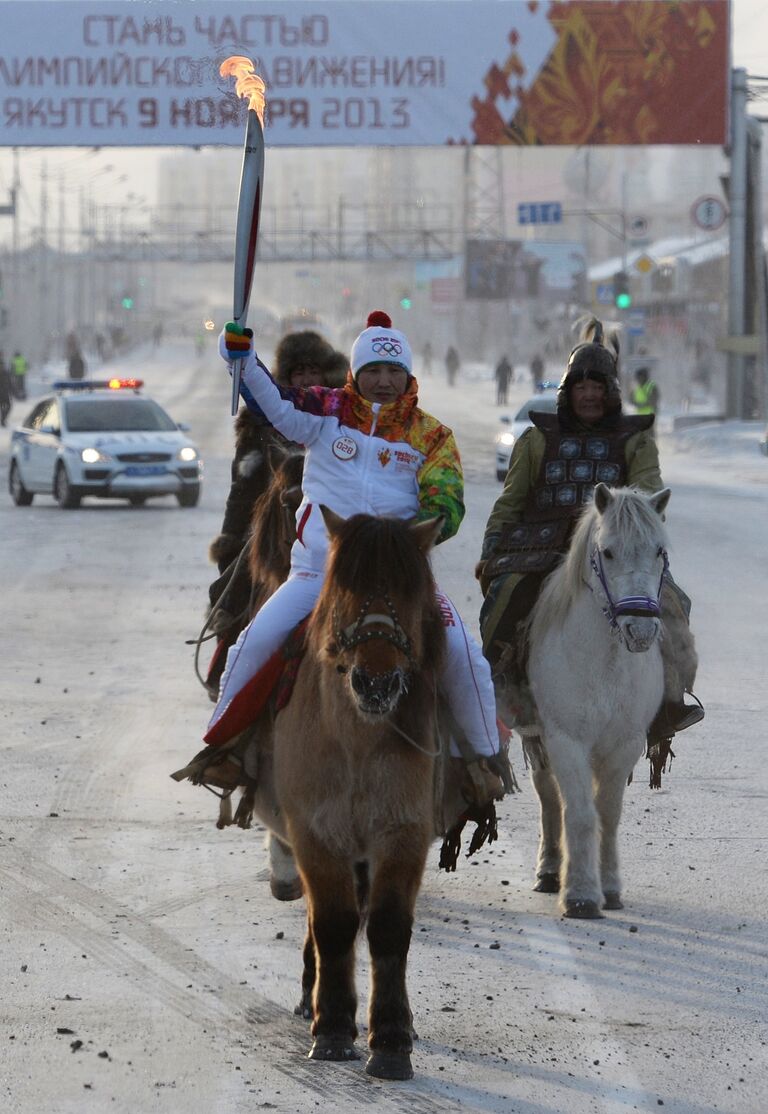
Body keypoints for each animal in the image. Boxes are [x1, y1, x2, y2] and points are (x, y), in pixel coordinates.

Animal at [523, 483, 668, 917]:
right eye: (607, 552)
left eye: (659, 551)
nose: (640, 630)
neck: (605, 663)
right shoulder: (565, 739)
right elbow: (580, 813)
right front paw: (582, 894)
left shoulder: (625, 743)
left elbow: (609, 813)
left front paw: (611, 888)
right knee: (548, 794)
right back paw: (550, 871)